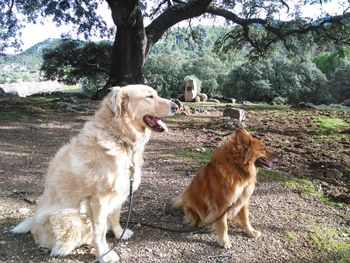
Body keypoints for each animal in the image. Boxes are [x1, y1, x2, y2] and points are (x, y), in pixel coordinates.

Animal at [10, 85, 178, 262]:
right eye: (149, 97)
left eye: (156, 94)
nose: (176, 106)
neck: (119, 137)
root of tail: (35, 219)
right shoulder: (98, 199)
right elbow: (99, 230)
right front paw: (104, 253)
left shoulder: (120, 192)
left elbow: (115, 216)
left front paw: (119, 233)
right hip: (73, 216)